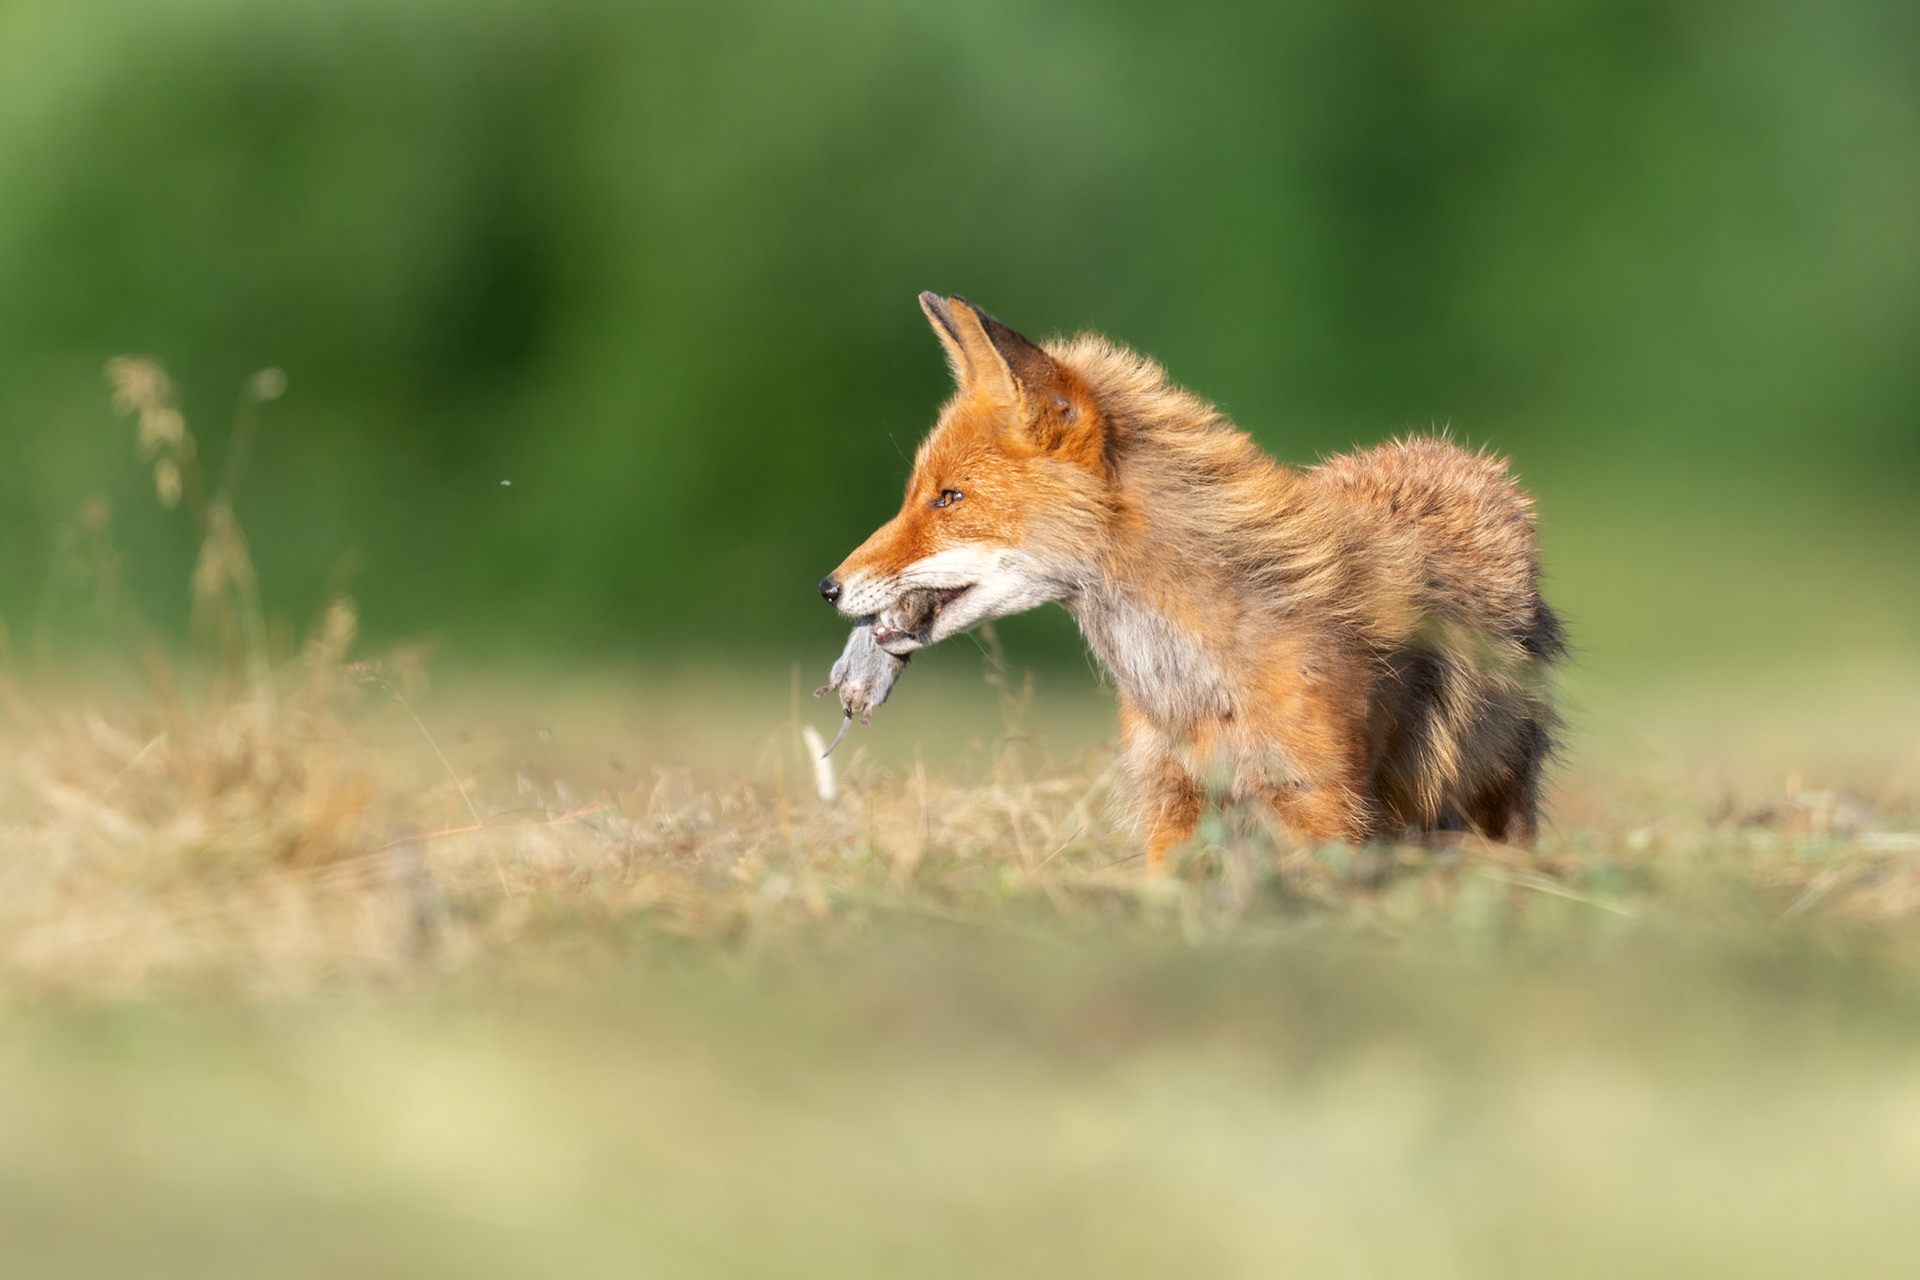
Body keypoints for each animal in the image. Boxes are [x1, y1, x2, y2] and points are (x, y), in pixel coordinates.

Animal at [820, 293, 1565, 862]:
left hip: (1492, 813)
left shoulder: (1322, 808)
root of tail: (1459, 455)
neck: (1190, 687)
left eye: (949, 499)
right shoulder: (1169, 803)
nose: (827, 587)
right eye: (916, 494)